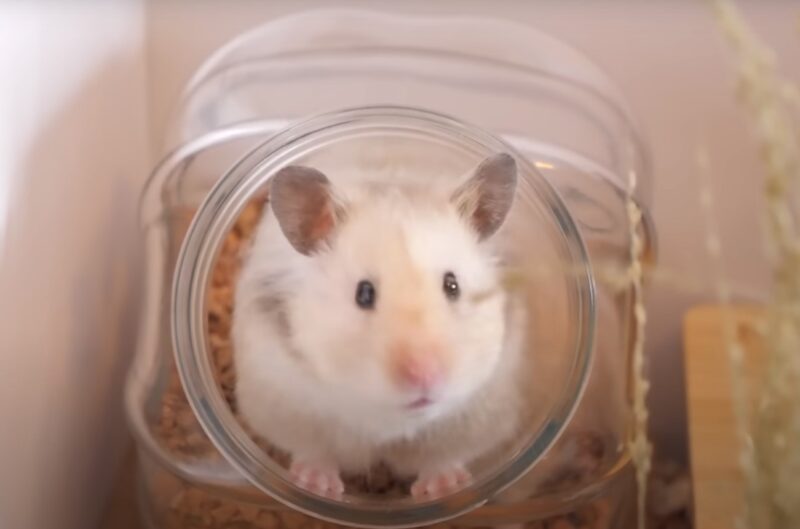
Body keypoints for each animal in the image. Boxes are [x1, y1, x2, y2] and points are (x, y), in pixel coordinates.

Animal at [233, 153, 532, 500]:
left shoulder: (480, 413)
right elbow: (312, 448)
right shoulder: (282, 399)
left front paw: (444, 488)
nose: (425, 378)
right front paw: (317, 486)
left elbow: (444, 455)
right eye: (363, 293)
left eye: (452, 285)